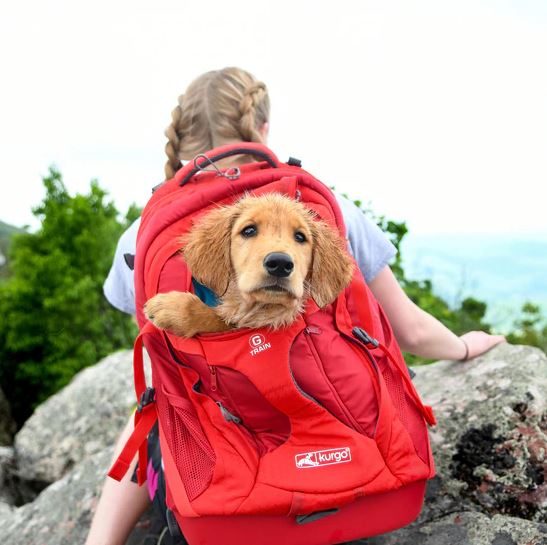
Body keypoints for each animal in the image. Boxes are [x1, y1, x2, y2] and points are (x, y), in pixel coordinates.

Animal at [143, 191, 356, 336]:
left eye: (300, 237)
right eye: (249, 230)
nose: (280, 263)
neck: (261, 308)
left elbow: (219, 320)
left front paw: (173, 307)